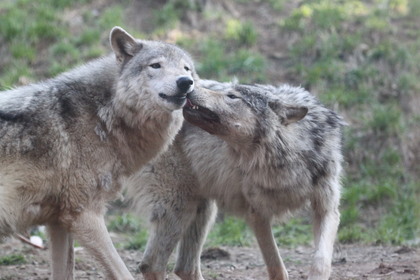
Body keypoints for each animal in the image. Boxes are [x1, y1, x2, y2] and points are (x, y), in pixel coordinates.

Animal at [0, 26, 197, 280]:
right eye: (156, 65)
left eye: (186, 68)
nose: (186, 82)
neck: (103, 115)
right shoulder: (84, 215)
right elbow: (123, 273)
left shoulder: (58, 222)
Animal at [128, 80, 344, 278]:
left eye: (232, 96)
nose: (189, 88)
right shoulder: (257, 215)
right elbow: (277, 267)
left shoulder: (327, 209)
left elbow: (321, 260)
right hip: (180, 206)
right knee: (152, 264)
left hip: (202, 208)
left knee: (184, 267)